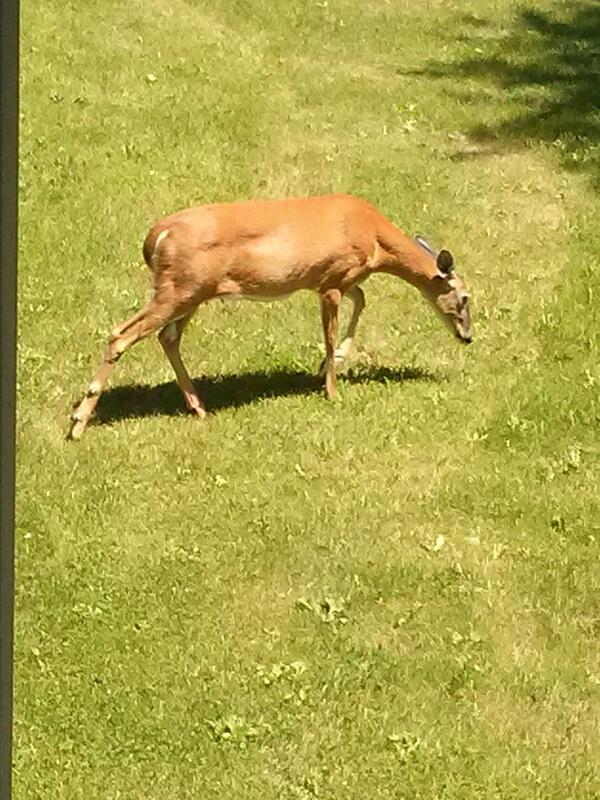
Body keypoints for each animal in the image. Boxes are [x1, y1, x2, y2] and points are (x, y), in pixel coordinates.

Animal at [68, 193, 472, 439]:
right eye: (466, 298)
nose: (467, 336)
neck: (374, 239)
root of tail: (156, 236)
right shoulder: (332, 278)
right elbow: (330, 333)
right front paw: (331, 388)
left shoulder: (338, 279)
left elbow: (362, 301)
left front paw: (332, 365)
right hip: (179, 288)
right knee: (121, 333)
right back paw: (78, 423)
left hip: (192, 292)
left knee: (166, 337)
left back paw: (198, 407)